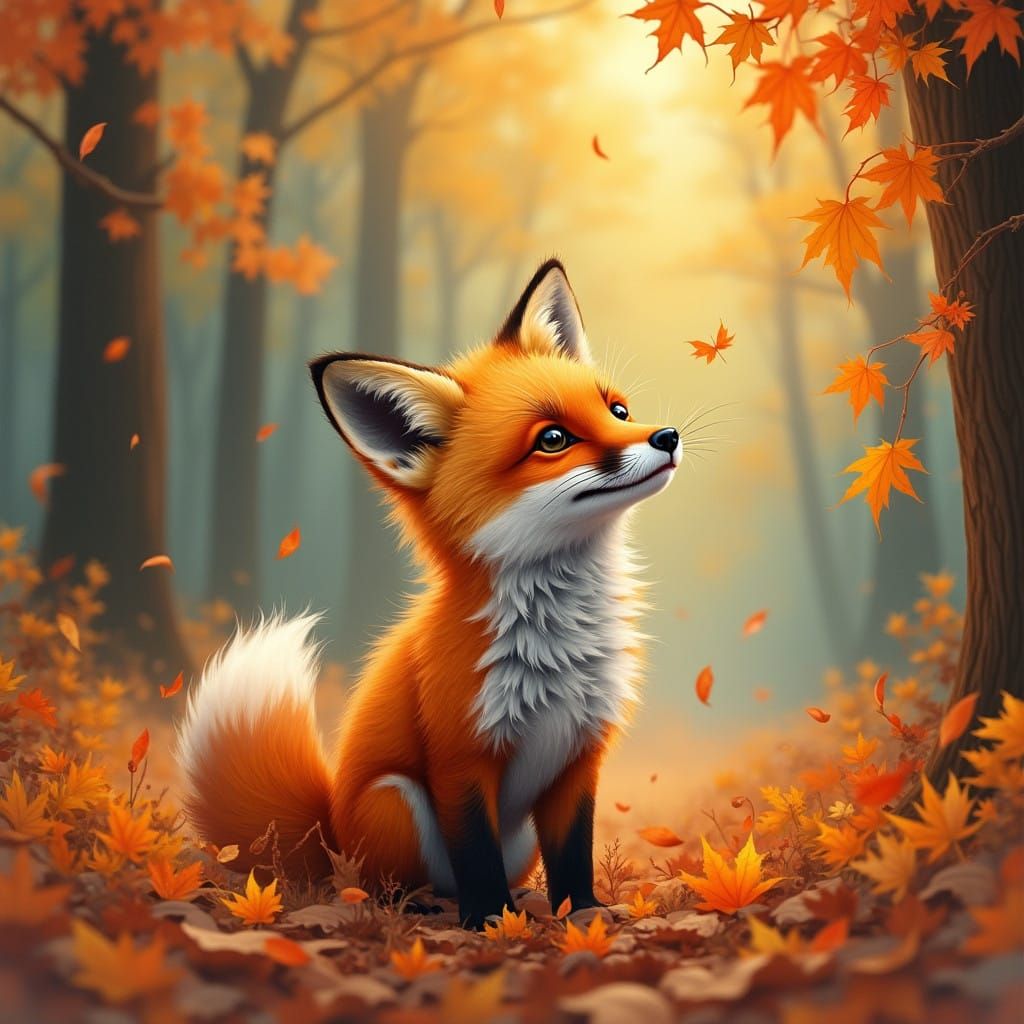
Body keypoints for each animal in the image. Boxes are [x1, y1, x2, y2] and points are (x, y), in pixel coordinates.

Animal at [175, 259, 680, 928]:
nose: (668, 436)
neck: (557, 648)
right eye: (552, 439)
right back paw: (422, 906)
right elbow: (476, 858)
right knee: (391, 886)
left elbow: (573, 854)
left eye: (618, 410)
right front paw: (491, 923)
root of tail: (330, 839)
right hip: (396, 800)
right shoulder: (458, 760)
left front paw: (581, 913)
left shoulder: (577, 758)